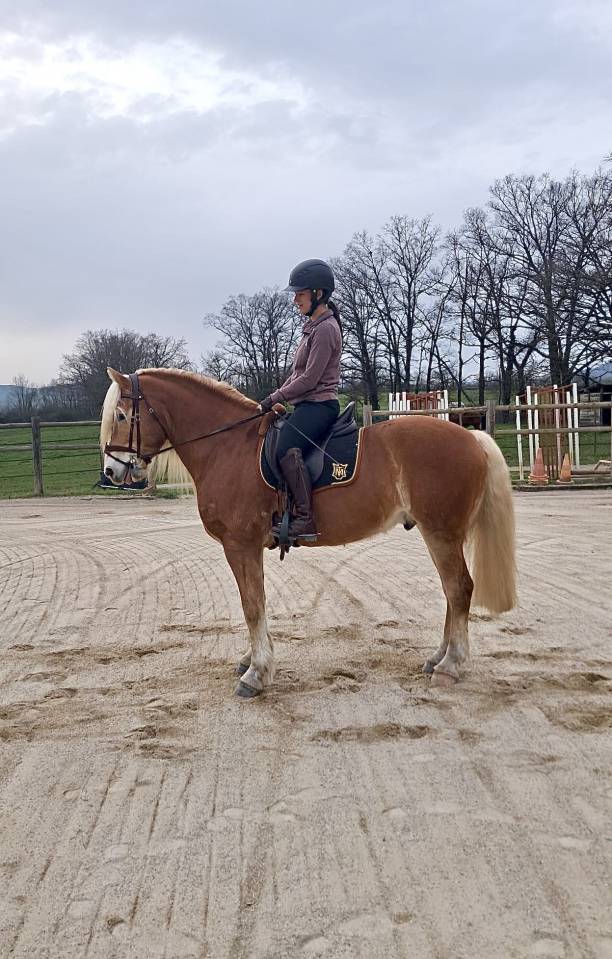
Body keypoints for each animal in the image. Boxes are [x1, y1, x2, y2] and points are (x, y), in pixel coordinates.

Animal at [100, 367, 517, 698]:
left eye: (121, 415)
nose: (111, 472)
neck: (228, 447)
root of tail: (471, 438)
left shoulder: (240, 544)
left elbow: (252, 605)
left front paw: (256, 674)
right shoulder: (244, 548)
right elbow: (254, 602)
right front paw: (253, 660)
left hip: (441, 532)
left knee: (459, 588)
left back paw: (450, 666)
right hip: (440, 534)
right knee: (451, 591)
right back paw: (437, 658)